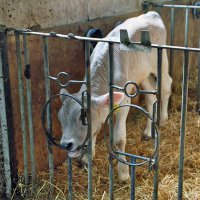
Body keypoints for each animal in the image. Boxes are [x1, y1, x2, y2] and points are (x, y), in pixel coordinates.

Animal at [58, 11, 172, 181]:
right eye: (60, 118)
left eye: (83, 117)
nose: (66, 144)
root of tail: (151, 13)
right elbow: (95, 131)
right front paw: (86, 159)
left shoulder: (124, 101)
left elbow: (118, 139)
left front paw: (123, 173)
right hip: (142, 73)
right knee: (151, 96)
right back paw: (148, 132)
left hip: (161, 61)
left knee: (166, 87)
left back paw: (163, 118)